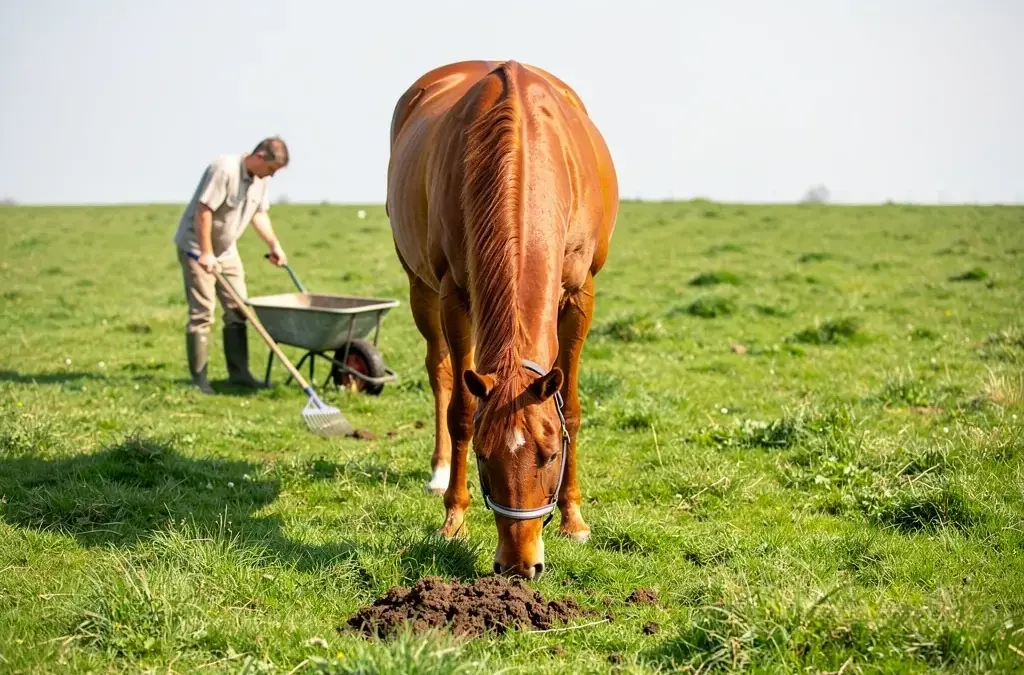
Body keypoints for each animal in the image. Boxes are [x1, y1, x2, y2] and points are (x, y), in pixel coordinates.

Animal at [385, 60, 618, 579]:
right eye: (483, 456)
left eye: (550, 455)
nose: (519, 566)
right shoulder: (453, 295)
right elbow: (461, 412)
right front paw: (453, 520)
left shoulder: (581, 294)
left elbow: (572, 408)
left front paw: (574, 519)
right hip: (419, 287)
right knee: (440, 372)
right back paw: (438, 471)